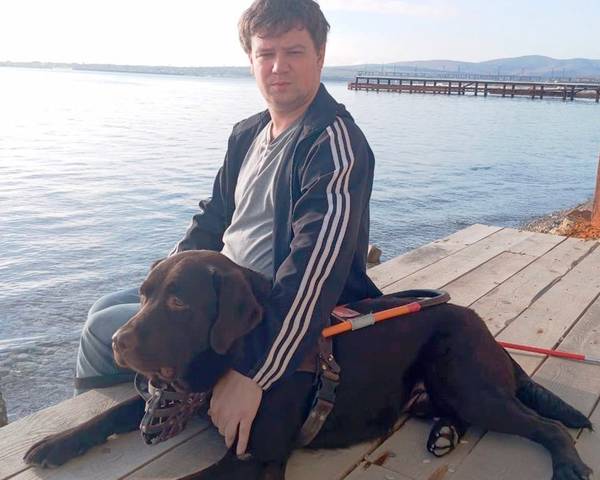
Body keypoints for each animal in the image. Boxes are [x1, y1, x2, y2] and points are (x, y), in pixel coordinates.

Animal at [24, 250, 593, 479]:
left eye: (179, 302)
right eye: (143, 295)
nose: (118, 342)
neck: (243, 355)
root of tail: (487, 331)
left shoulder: (253, 460)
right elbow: (111, 413)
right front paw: (56, 443)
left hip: (463, 379)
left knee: (545, 425)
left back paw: (567, 464)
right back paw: (445, 433)